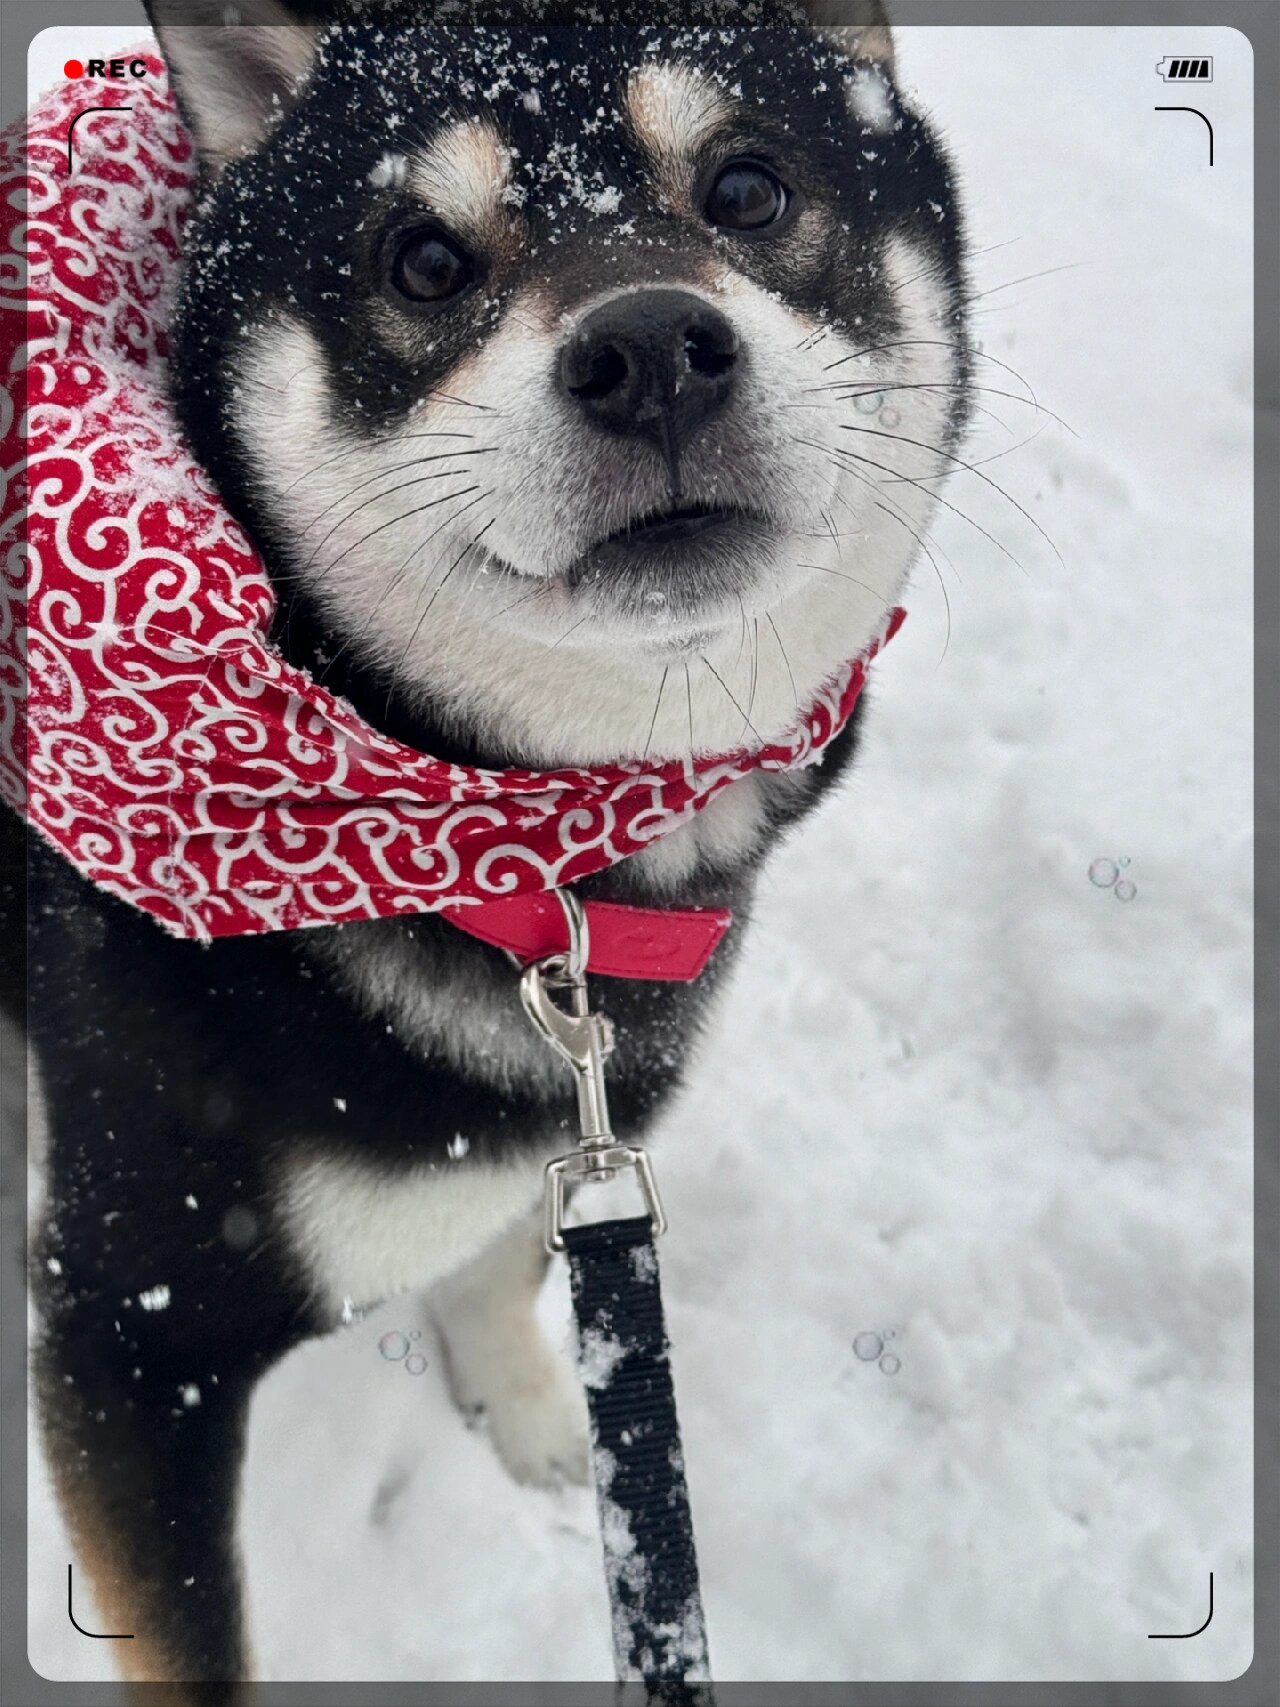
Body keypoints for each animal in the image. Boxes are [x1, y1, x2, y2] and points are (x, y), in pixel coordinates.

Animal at [2, 3, 969, 1693]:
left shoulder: (584, 1106)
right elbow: (193, 1641)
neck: (532, 861)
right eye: (425, 261)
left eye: (749, 187)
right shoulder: (132, 1321)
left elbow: (509, 1254)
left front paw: (537, 1412)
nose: (649, 349)